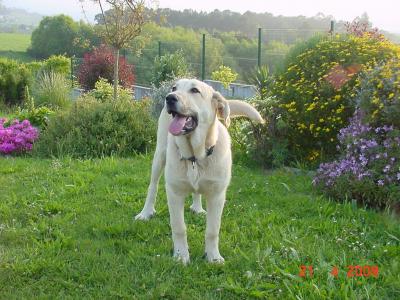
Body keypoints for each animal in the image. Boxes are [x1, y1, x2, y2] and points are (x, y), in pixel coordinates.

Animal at [136, 79, 264, 262]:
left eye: (195, 90)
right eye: (174, 88)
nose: (170, 98)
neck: (195, 156)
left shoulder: (217, 195)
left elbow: (212, 230)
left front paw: (213, 257)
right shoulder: (174, 192)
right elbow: (179, 227)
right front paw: (181, 256)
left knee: (197, 192)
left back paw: (197, 208)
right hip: (159, 155)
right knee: (152, 187)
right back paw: (146, 213)